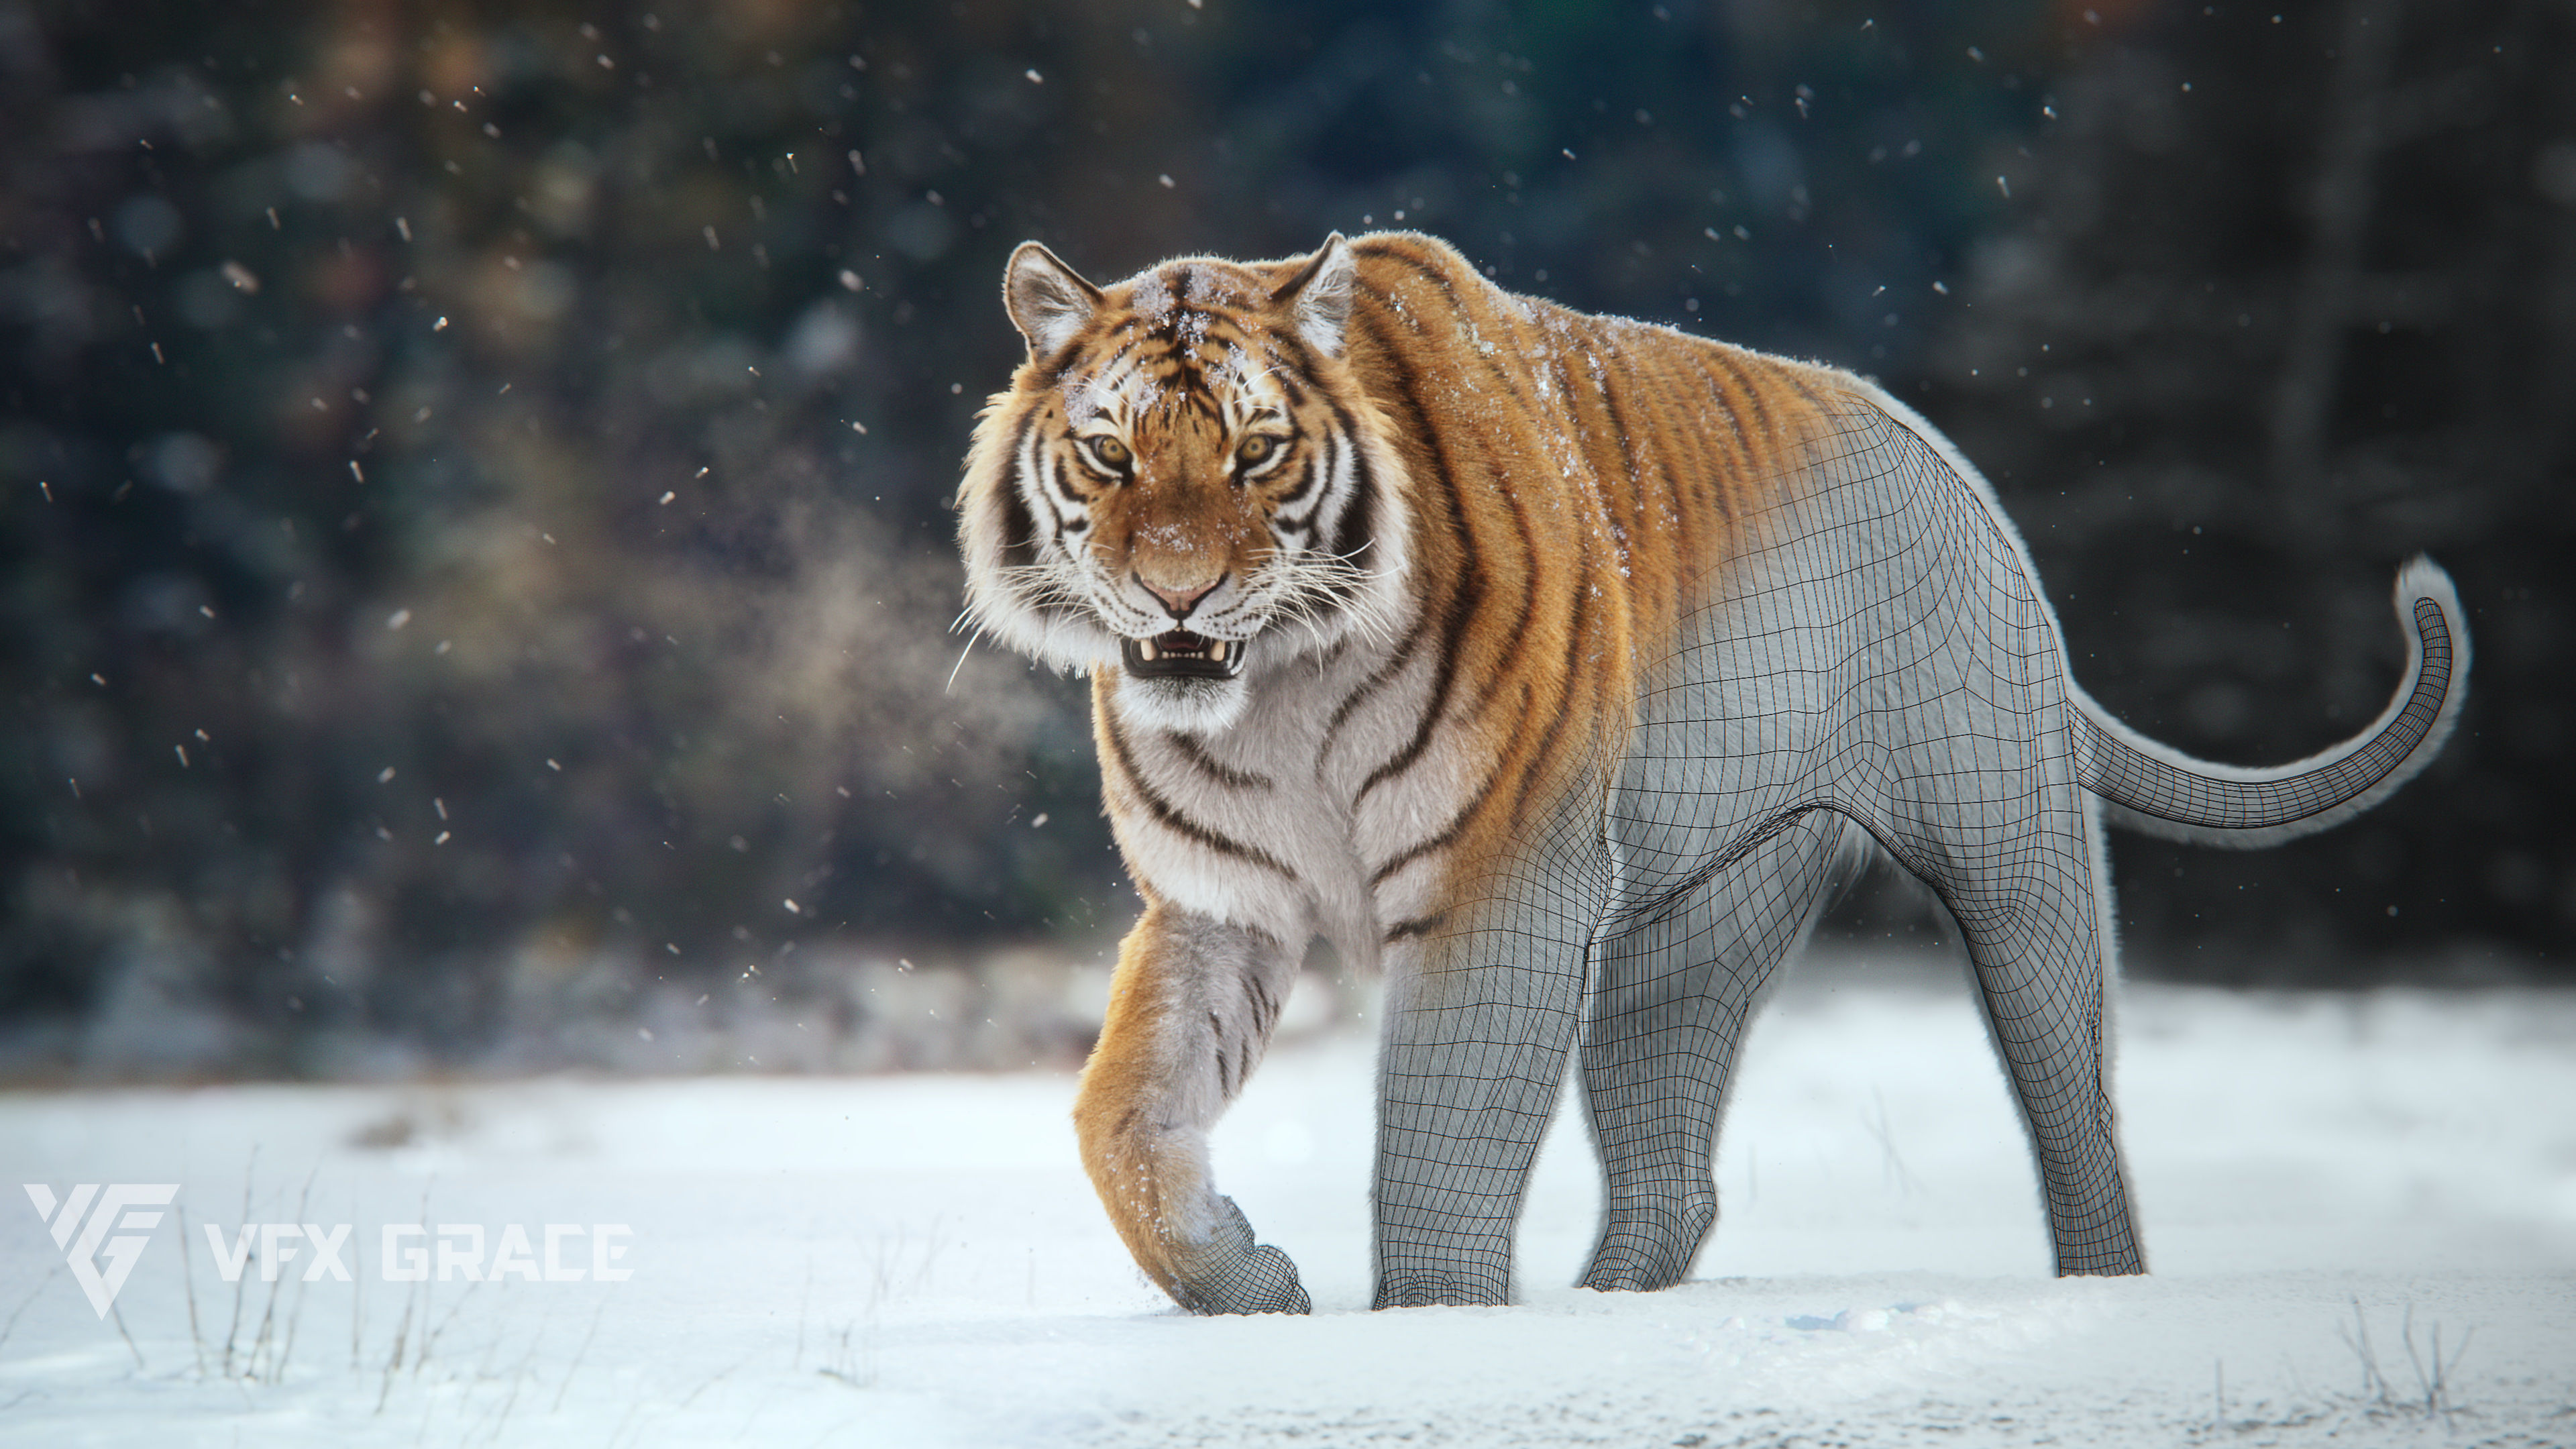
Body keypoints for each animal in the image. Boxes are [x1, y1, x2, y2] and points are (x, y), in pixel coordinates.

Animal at [954, 230, 2468, 1315]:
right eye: (1110, 453)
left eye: (1258, 451)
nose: (1179, 591)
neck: (1278, 689)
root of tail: (1951, 465)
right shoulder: (1225, 901)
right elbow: (1121, 1118)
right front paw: (1253, 1286)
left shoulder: (1502, 892)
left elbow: (1439, 1146)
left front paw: (1432, 1329)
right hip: (1685, 931)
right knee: (1674, 1178)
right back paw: (1612, 1312)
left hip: (2010, 850)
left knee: (2079, 1115)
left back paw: (2109, 1292)